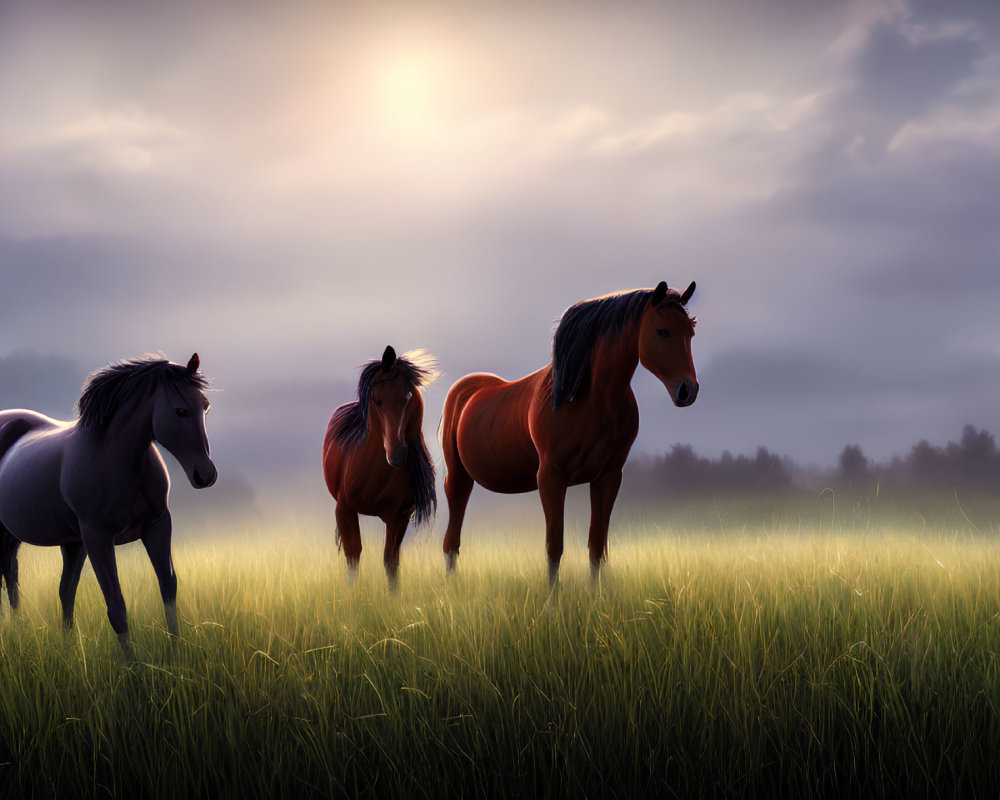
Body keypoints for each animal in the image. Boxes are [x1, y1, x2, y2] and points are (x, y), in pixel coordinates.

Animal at [0, 354, 217, 656]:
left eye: (205, 407)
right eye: (180, 411)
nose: (206, 475)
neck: (118, 459)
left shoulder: (158, 526)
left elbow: (168, 590)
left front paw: (177, 654)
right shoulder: (98, 538)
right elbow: (116, 605)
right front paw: (133, 666)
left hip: (66, 542)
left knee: (54, 589)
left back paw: (62, 647)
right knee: (17, 580)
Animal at [324, 346, 438, 588]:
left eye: (408, 397)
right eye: (376, 400)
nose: (398, 455)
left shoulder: (399, 516)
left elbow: (391, 561)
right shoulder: (344, 509)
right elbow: (353, 556)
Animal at [442, 284, 700, 584]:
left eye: (690, 332)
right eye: (662, 331)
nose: (688, 390)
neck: (591, 399)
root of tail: (467, 388)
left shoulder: (608, 478)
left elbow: (597, 546)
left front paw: (595, 595)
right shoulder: (551, 478)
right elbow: (554, 547)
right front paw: (551, 598)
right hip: (459, 477)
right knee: (451, 540)